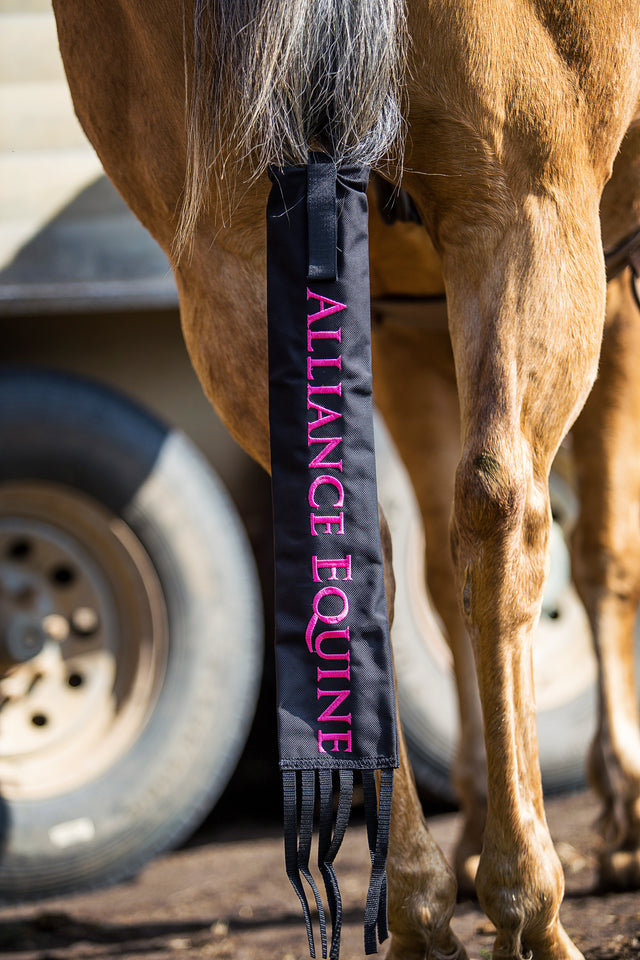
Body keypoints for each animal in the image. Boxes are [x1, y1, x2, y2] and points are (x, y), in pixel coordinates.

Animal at [51, 2, 640, 958]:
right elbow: (605, 555)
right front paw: (624, 809)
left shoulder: (401, 333)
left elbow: (435, 577)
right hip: (523, 211)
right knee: (506, 521)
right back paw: (527, 902)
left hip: (228, 261)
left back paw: (421, 907)